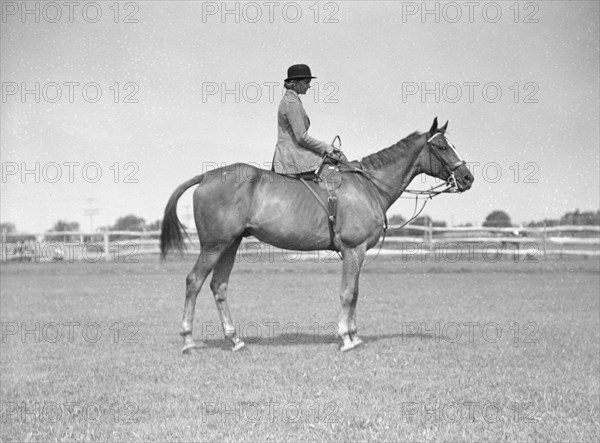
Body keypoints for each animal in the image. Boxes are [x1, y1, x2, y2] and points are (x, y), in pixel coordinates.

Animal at [159, 118, 474, 354]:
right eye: (442, 147)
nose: (468, 178)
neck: (368, 185)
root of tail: (207, 176)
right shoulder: (353, 250)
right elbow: (347, 293)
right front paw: (346, 338)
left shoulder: (358, 253)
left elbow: (355, 293)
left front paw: (355, 335)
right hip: (214, 246)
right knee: (194, 282)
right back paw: (188, 340)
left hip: (231, 245)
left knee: (219, 286)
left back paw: (235, 339)